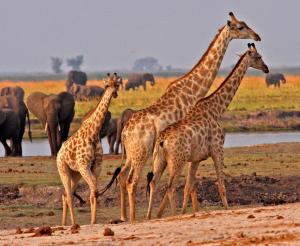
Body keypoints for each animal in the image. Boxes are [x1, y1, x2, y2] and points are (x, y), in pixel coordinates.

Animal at [55, 72, 119, 225]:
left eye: (117, 84)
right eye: (107, 84)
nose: (114, 94)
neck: (94, 132)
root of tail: (59, 153)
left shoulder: (95, 166)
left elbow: (93, 192)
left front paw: (93, 221)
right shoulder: (84, 165)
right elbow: (94, 191)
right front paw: (92, 221)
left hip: (75, 174)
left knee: (66, 194)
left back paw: (64, 223)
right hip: (63, 169)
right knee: (68, 195)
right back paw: (73, 223)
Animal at [146, 42, 268, 219]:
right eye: (258, 57)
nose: (266, 68)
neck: (217, 109)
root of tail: (162, 141)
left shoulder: (196, 158)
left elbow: (188, 186)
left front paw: (186, 211)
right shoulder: (217, 149)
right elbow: (221, 183)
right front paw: (227, 209)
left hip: (160, 160)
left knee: (154, 182)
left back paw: (150, 216)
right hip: (177, 160)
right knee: (170, 187)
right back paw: (175, 215)